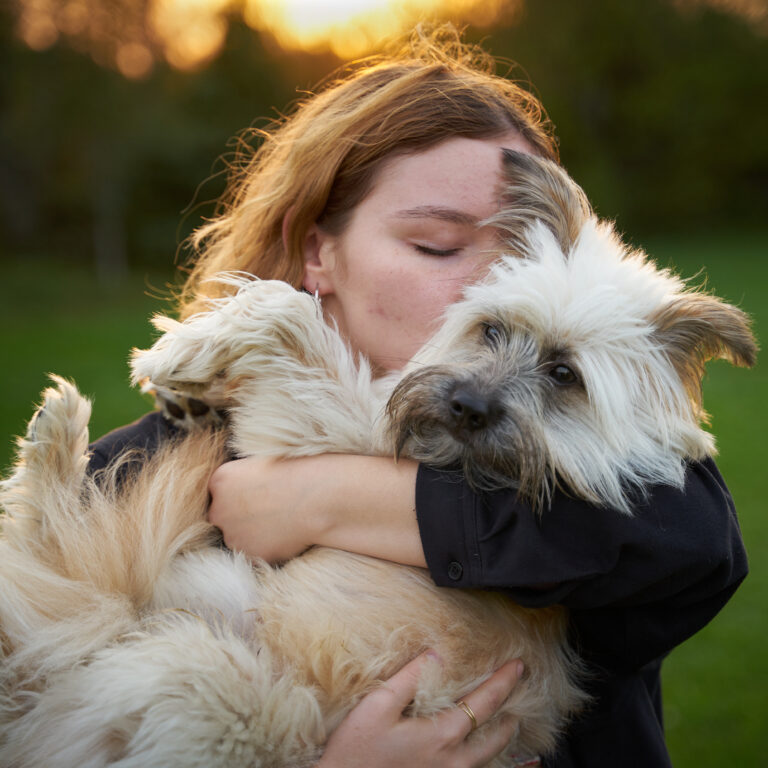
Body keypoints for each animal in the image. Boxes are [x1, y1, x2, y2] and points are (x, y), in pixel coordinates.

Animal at [0, 152, 756, 768]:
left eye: (565, 375)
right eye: (492, 329)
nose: (466, 407)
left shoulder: (330, 425)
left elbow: (288, 315)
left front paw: (176, 354)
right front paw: (187, 388)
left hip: (193, 671)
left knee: (59, 603)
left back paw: (56, 433)